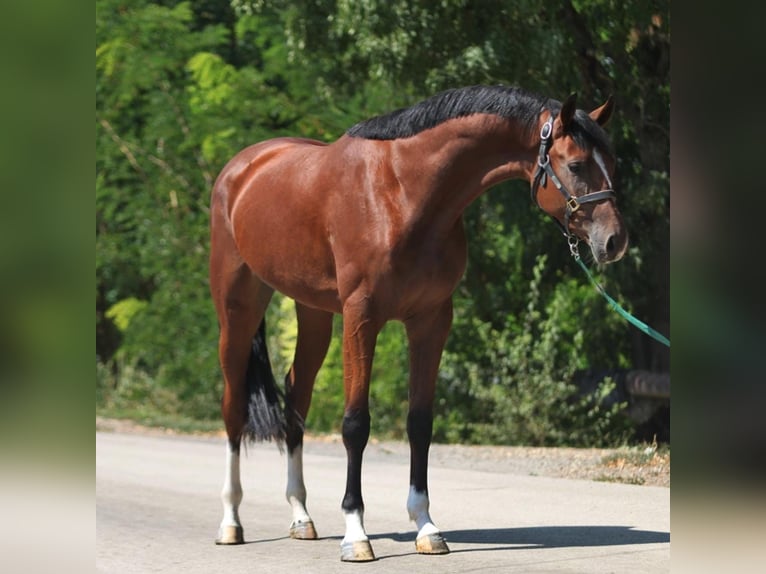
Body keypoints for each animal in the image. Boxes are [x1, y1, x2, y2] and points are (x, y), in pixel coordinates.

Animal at [207, 84, 628, 564]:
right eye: (575, 164)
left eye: (612, 162)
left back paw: (301, 517)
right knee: (233, 407)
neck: (402, 194)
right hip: (237, 307)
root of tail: (242, 167)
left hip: (312, 310)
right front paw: (356, 534)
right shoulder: (362, 317)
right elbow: (356, 424)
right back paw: (231, 523)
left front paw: (426, 527)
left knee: (297, 397)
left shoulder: (431, 320)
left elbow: (420, 423)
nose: (615, 241)